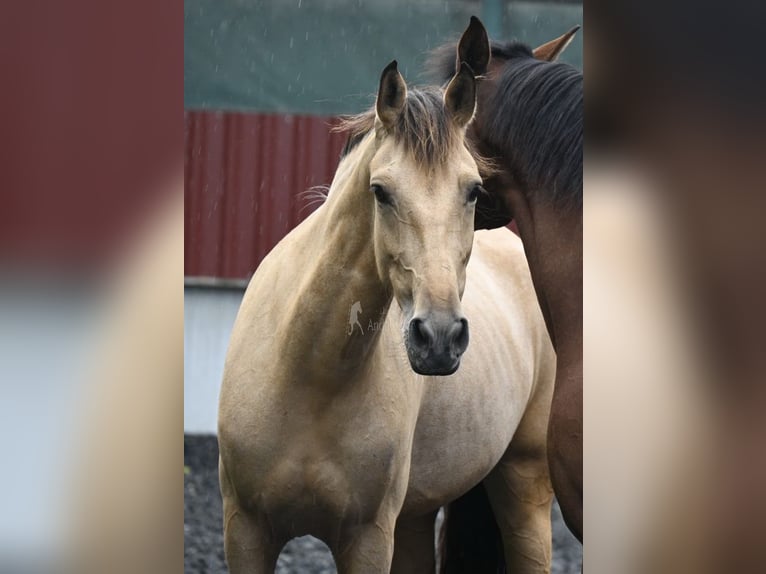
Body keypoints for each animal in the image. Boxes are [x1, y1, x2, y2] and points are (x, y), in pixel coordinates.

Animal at [219, 51, 556, 572]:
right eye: (380, 191)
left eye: (473, 190)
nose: (439, 338)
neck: (308, 373)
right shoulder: (246, 531)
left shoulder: (369, 538)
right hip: (416, 517)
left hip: (524, 487)